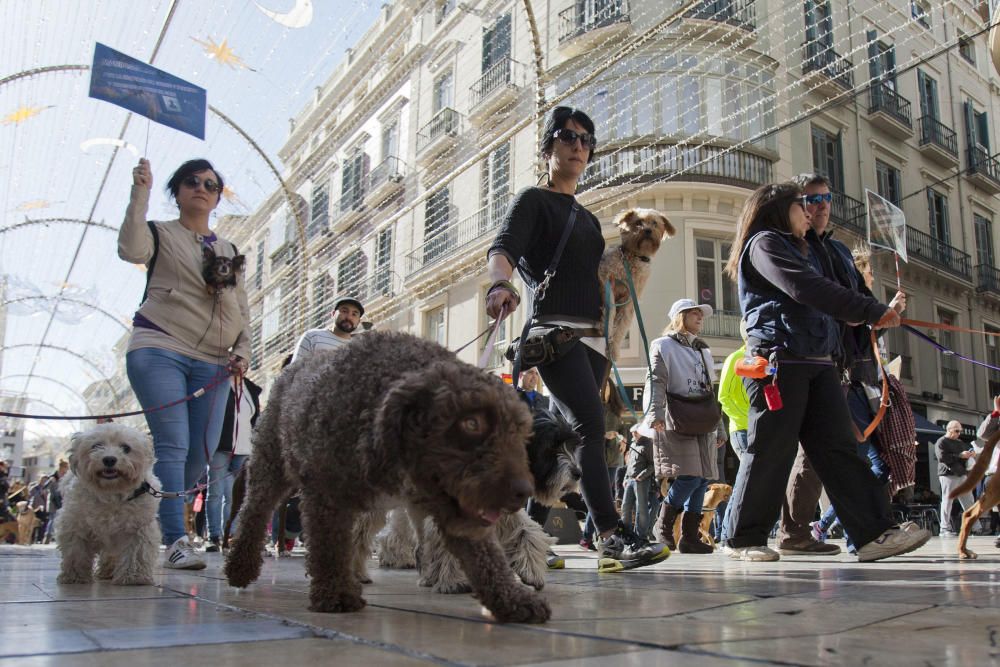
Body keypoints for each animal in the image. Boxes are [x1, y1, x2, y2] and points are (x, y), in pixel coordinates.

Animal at [56, 426, 161, 588]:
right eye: (96, 446)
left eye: (126, 448)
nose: (109, 459)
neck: (112, 495)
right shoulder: (75, 526)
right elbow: (76, 552)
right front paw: (75, 576)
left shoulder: (138, 529)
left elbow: (136, 554)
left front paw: (134, 577)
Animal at [224, 332, 552, 624]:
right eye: (471, 423)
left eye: (520, 431)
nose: (523, 491)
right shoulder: (326, 494)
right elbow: (329, 546)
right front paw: (336, 593)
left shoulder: (450, 508)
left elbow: (486, 557)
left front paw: (511, 599)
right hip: (270, 467)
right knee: (254, 512)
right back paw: (241, 565)